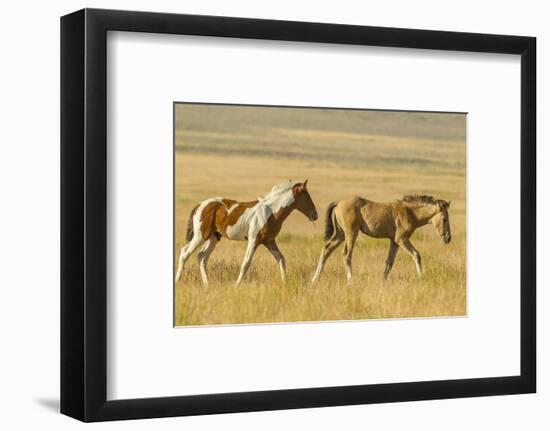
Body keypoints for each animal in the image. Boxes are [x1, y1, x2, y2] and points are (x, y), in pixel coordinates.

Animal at [175, 180, 316, 286]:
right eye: (307, 197)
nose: (315, 215)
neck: (270, 212)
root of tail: (199, 205)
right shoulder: (253, 240)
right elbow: (246, 263)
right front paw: (236, 285)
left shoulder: (269, 241)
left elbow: (281, 259)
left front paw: (285, 282)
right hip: (200, 236)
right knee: (184, 253)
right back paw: (178, 281)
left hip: (214, 238)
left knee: (202, 256)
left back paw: (207, 284)